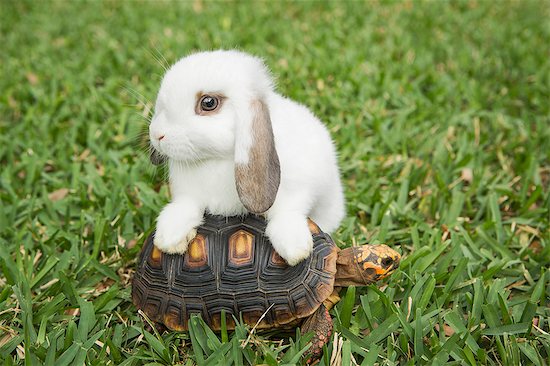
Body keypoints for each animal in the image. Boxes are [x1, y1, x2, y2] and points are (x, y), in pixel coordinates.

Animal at [150, 49, 344, 266]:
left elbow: (286, 213)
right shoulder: (188, 194)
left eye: (208, 103)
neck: (217, 159)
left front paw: (295, 248)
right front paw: (169, 237)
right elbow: (184, 207)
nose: (157, 135)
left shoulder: (297, 190)